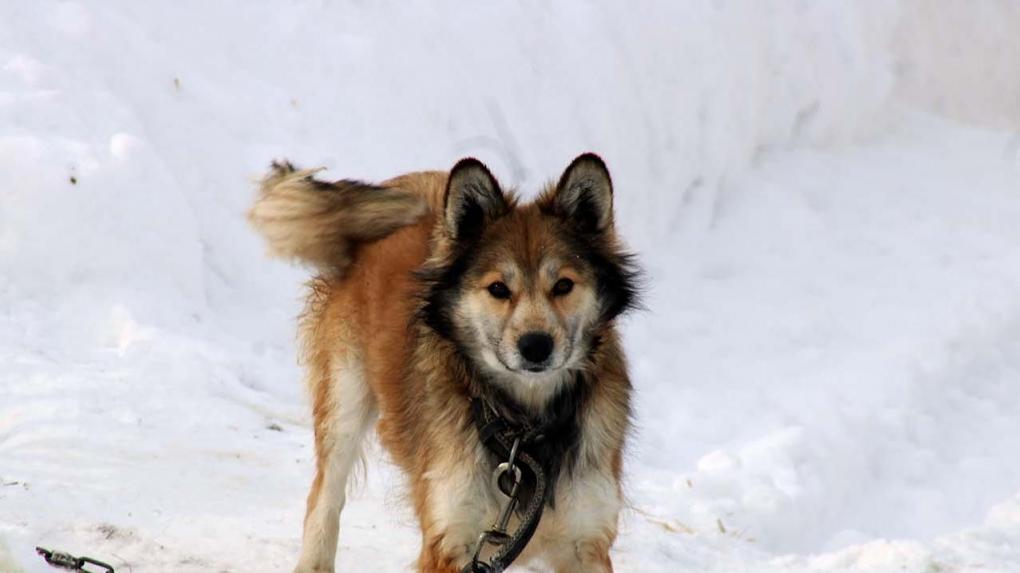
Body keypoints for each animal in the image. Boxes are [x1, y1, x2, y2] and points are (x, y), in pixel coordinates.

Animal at [248, 152, 636, 570]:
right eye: (498, 289)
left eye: (563, 285)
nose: (536, 346)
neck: (522, 431)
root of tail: (408, 184)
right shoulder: (450, 538)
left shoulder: (587, 541)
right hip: (344, 401)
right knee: (325, 499)